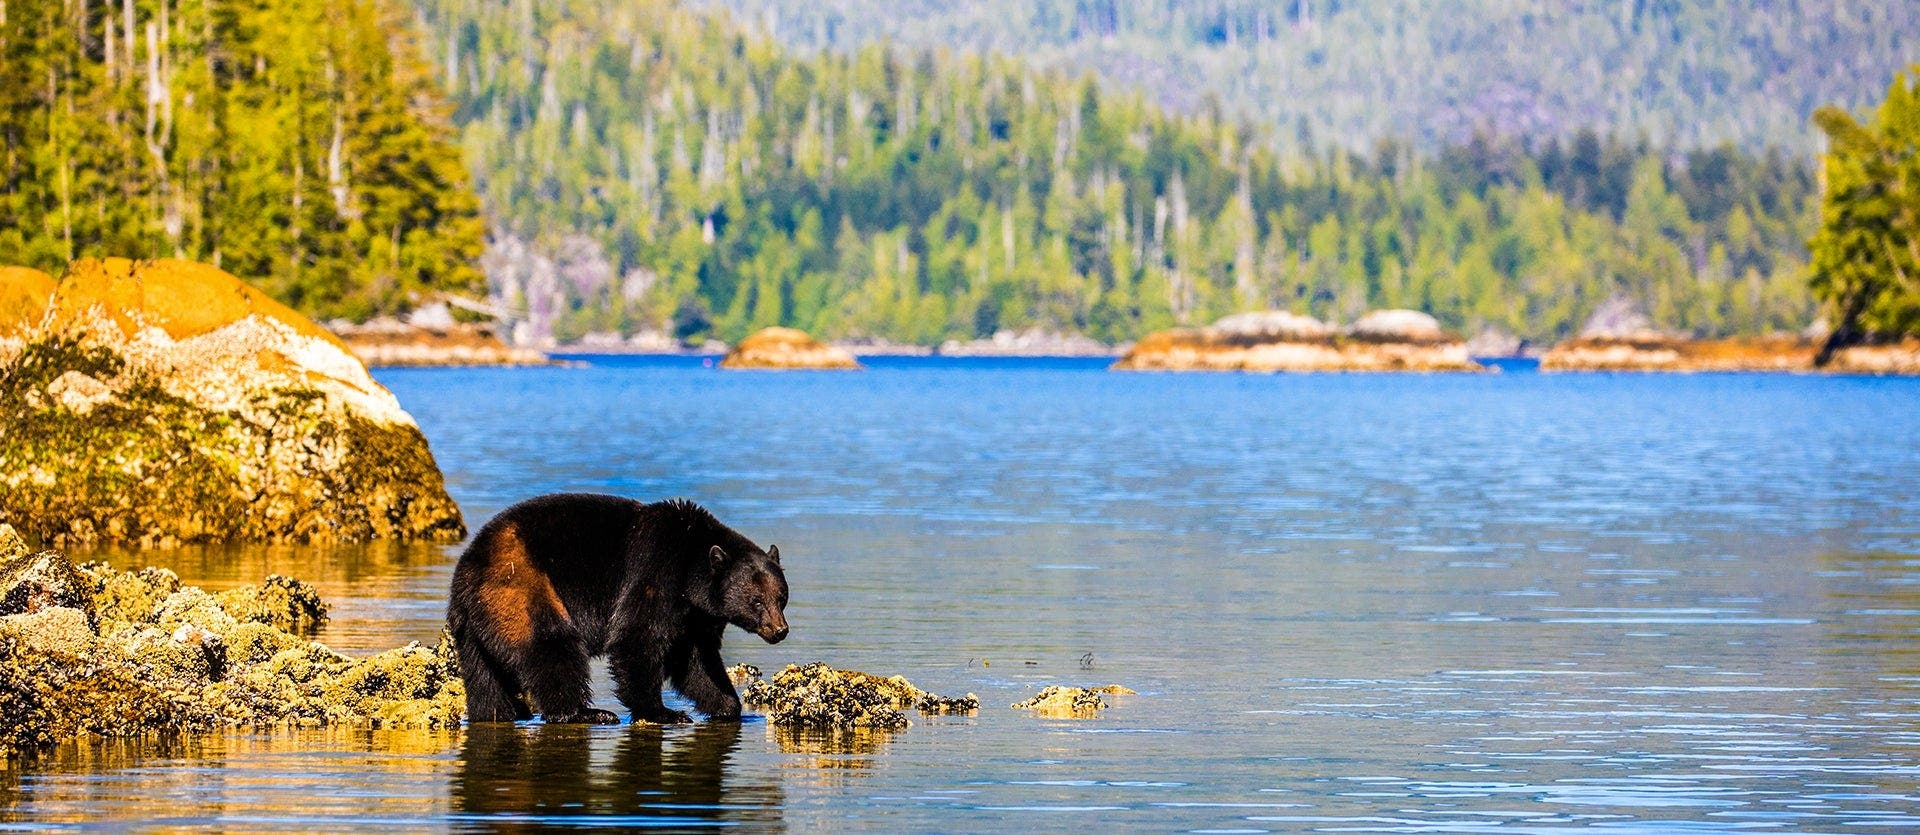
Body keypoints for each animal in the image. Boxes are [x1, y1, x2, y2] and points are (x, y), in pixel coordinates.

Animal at [445, 495, 783, 725]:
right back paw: (586, 712)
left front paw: (726, 706)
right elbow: (636, 637)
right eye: (757, 600)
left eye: (780, 597)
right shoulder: (656, 573)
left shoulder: (696, 616)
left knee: (484, 678)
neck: (690, 564)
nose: (780, 630)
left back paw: (499, 712)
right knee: (551, 645)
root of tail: (466, 573)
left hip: (475, 628)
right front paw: (663, 712)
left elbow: (696, 660)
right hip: (521, 587)